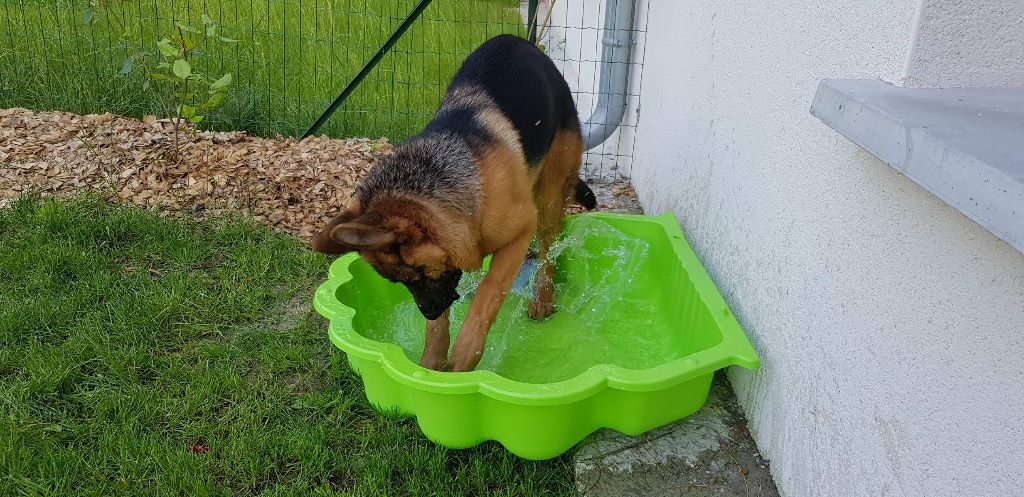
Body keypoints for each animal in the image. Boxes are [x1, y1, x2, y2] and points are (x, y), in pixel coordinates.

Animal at [309, 34, 593, 373]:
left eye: (416, 273)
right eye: (397, 281)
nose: (427, 311)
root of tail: (521, 42)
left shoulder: (519, 232)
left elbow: (489, 292)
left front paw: (461, 361)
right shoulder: (450, 258)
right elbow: (439, 325)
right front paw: (429, 365)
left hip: (549, 199)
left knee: (549, 253)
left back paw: (542, 301)